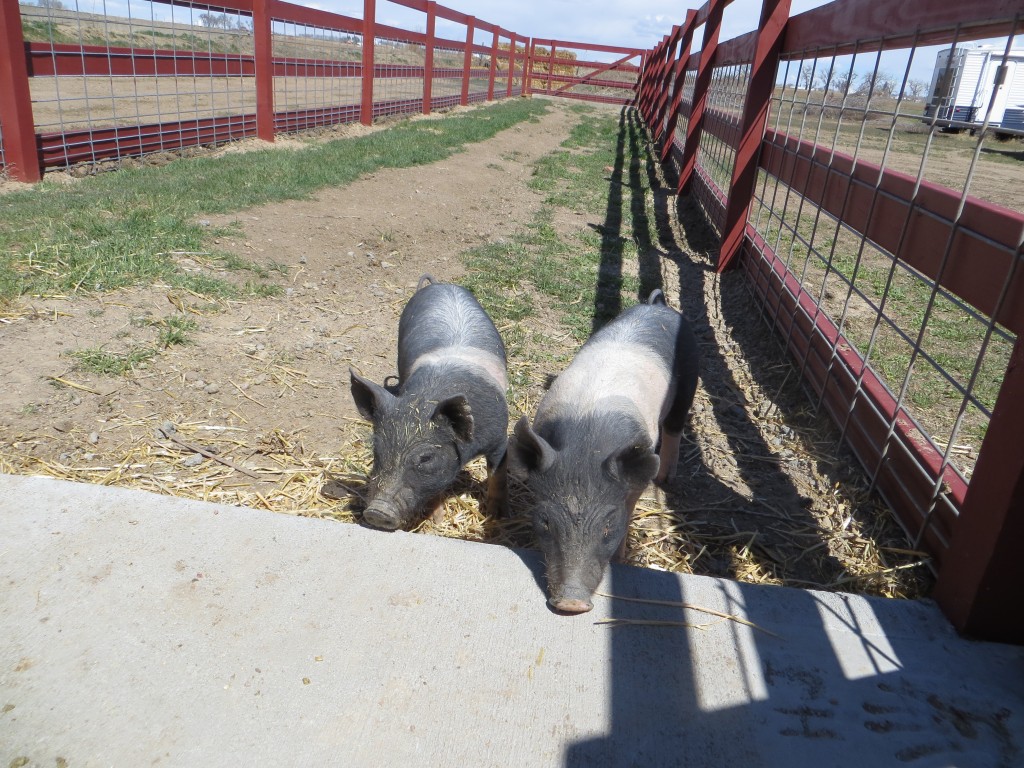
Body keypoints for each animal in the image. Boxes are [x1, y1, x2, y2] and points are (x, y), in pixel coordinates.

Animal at [352, 274, 512, 532]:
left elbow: (498, 474)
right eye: (376, 451)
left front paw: (498, 517)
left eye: (426, 458)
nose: (376, 511)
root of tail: (438, 285)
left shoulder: (499, 437)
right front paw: (436, 521)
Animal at [509, 290, 700, 618]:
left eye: (608, 526)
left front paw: (621, 559)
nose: (571, 603)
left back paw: (665, 479)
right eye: (545, 522)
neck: (587, 443)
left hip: (690, 376)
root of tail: (659, 306)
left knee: (675, 426)